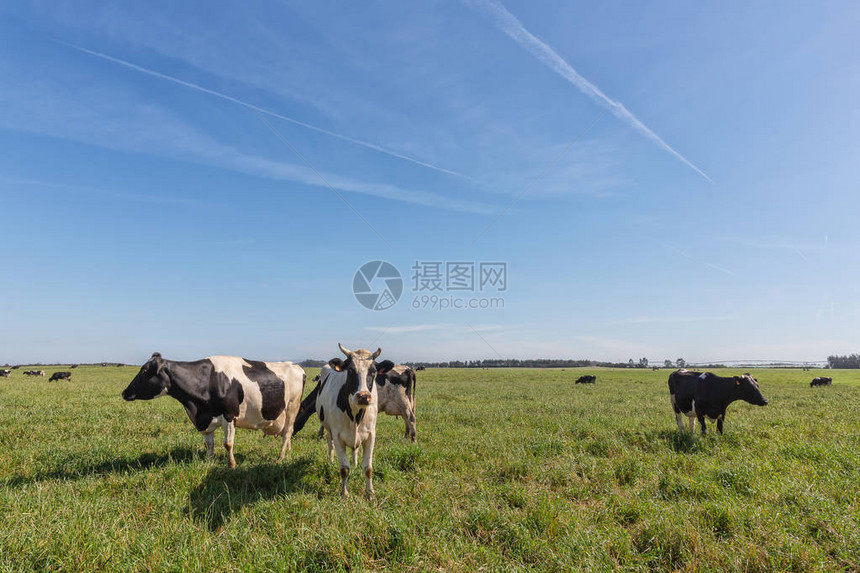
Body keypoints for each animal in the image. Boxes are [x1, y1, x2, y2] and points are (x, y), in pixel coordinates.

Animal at [121, 350, 306, 466]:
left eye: (145, 371)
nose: (124, 392)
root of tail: (297, 366)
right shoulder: (205, 419)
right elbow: (209, 444)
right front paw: (209, 462)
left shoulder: (230, 415)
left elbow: (228, 444)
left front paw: (232, 465)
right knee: (287, 433)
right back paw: (288, 452)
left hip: (292, 407)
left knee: (287, 432)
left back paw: (280, 458)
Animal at [316, 344, 380, 496]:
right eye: (350, 370)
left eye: (373, 371)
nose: (363, 396)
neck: (355, 415)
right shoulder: (338, 436)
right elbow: (344, 468)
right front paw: (344, 493)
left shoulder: (371, 434)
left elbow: (368, 467)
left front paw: (370, 493)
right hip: (328, 429)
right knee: (330, 444)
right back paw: (331, 460)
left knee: (355, 450)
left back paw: (356, 463)